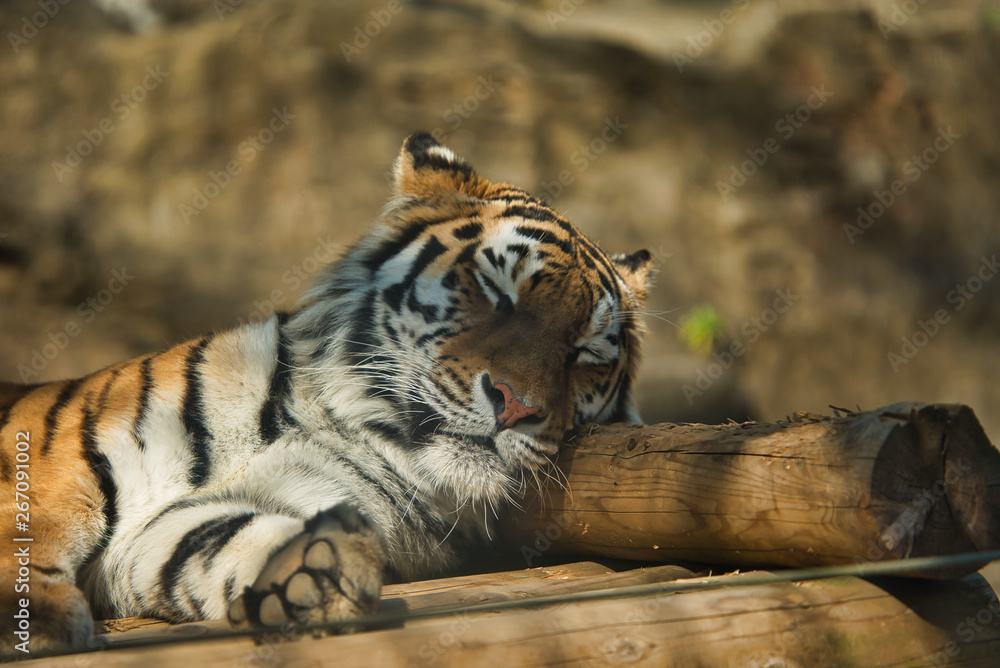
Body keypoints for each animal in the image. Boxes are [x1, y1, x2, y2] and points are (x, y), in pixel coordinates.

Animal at [0, 132, 652, 653]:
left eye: (586, 352)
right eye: (497, 291)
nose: (517, 405)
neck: (331, 418)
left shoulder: (174, 527)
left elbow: (208, 538)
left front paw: (307, 568)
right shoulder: (64, 455)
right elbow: (31, 519)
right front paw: (35, 616)